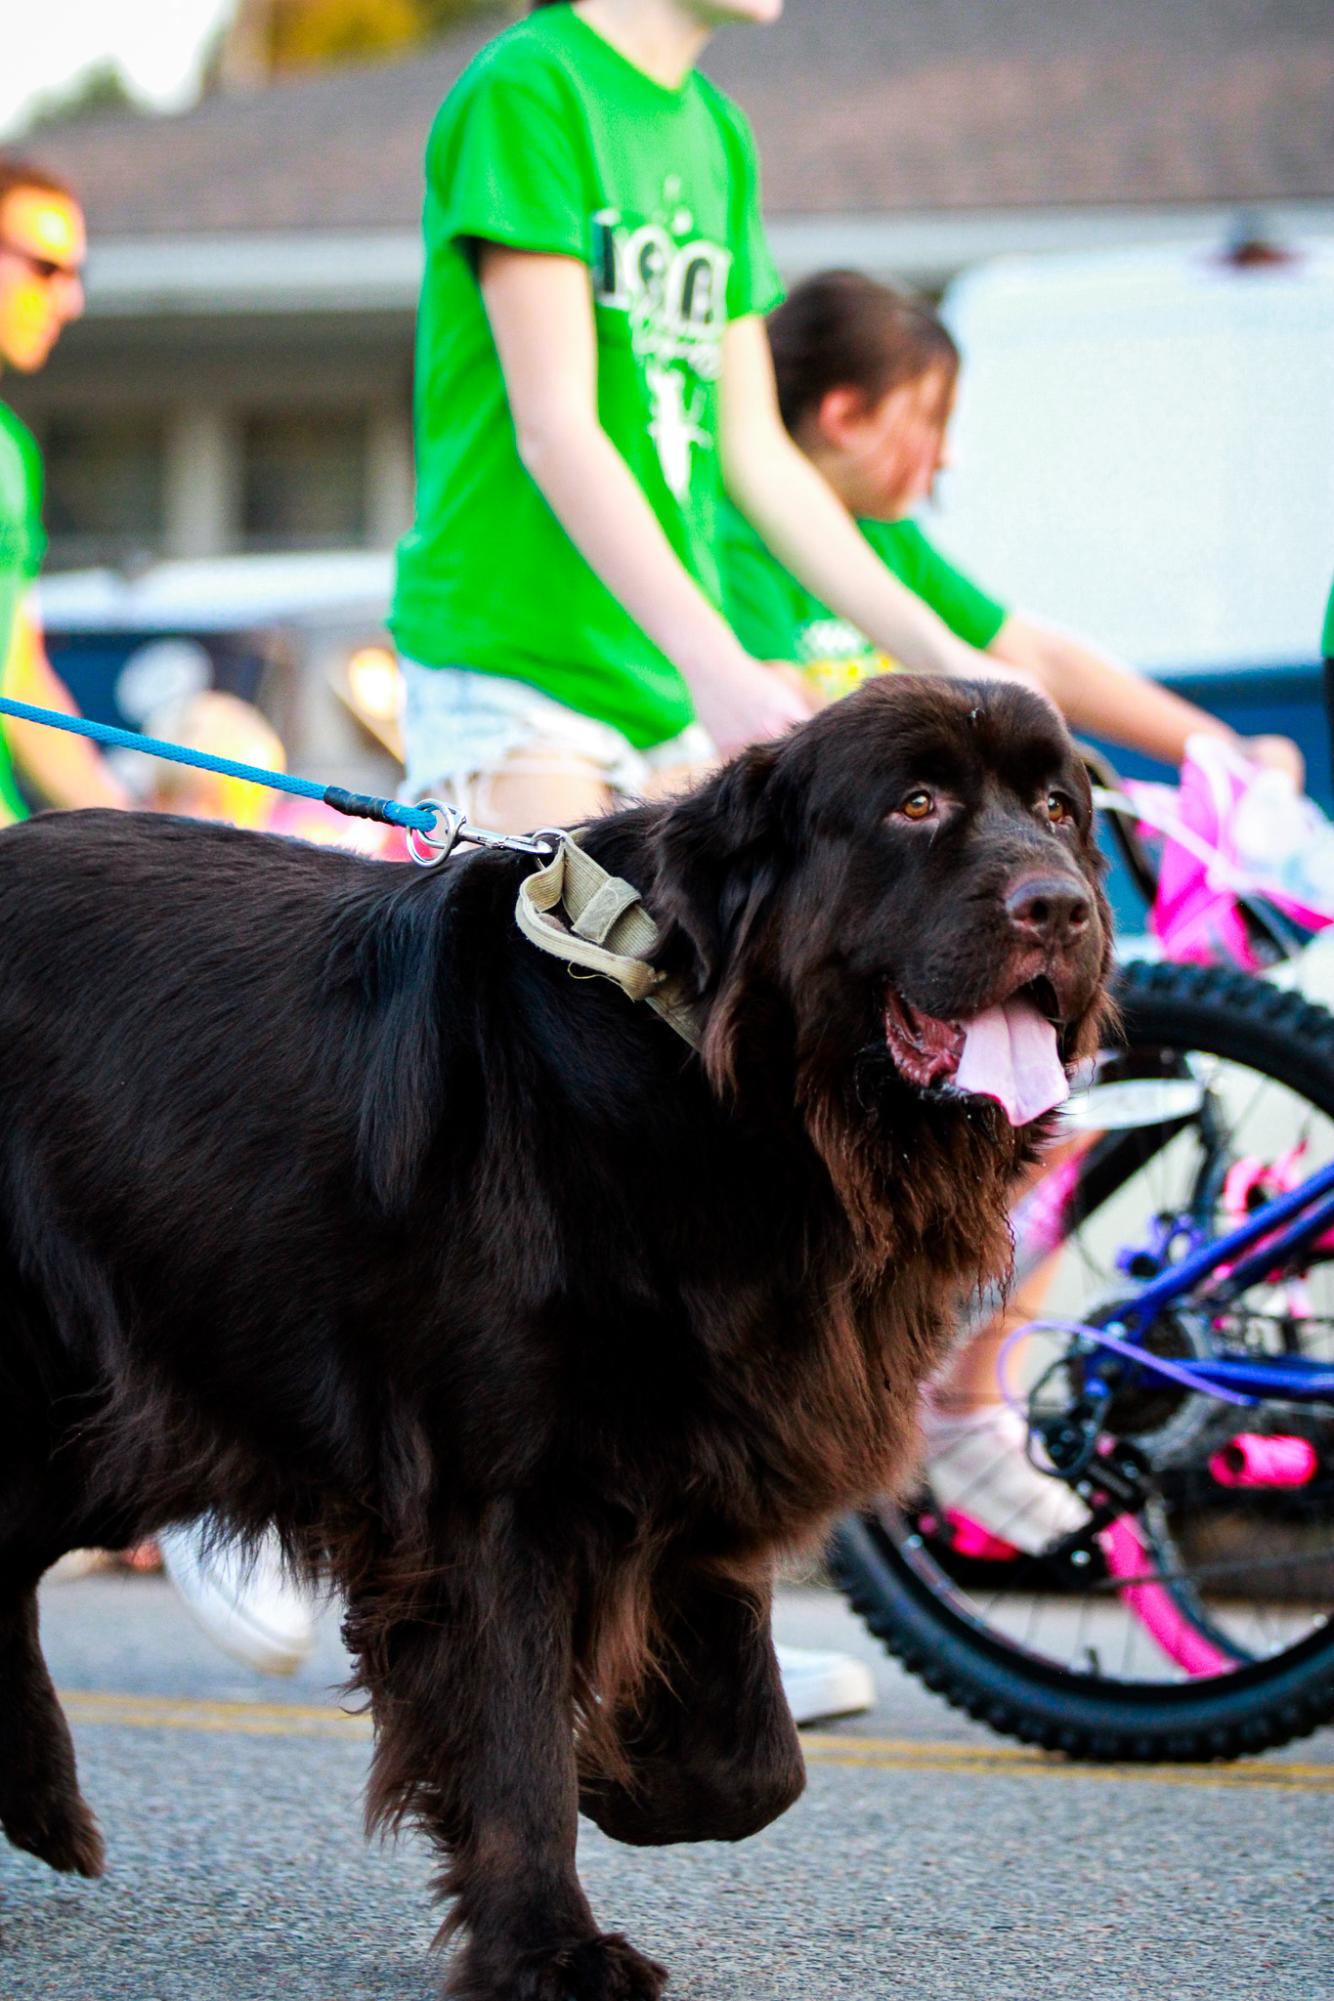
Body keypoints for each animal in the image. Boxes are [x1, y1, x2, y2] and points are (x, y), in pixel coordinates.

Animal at [0, 680, 1112, 1992]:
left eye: (1058, 809)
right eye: (915, 803)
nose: (1060, 904)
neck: (726, 1081)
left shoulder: (714, 1437)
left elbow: (754, 1765)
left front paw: (630, 1785)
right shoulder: (497, 1488)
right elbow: (512, 1722)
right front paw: (551, 1945)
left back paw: (42, 1808)